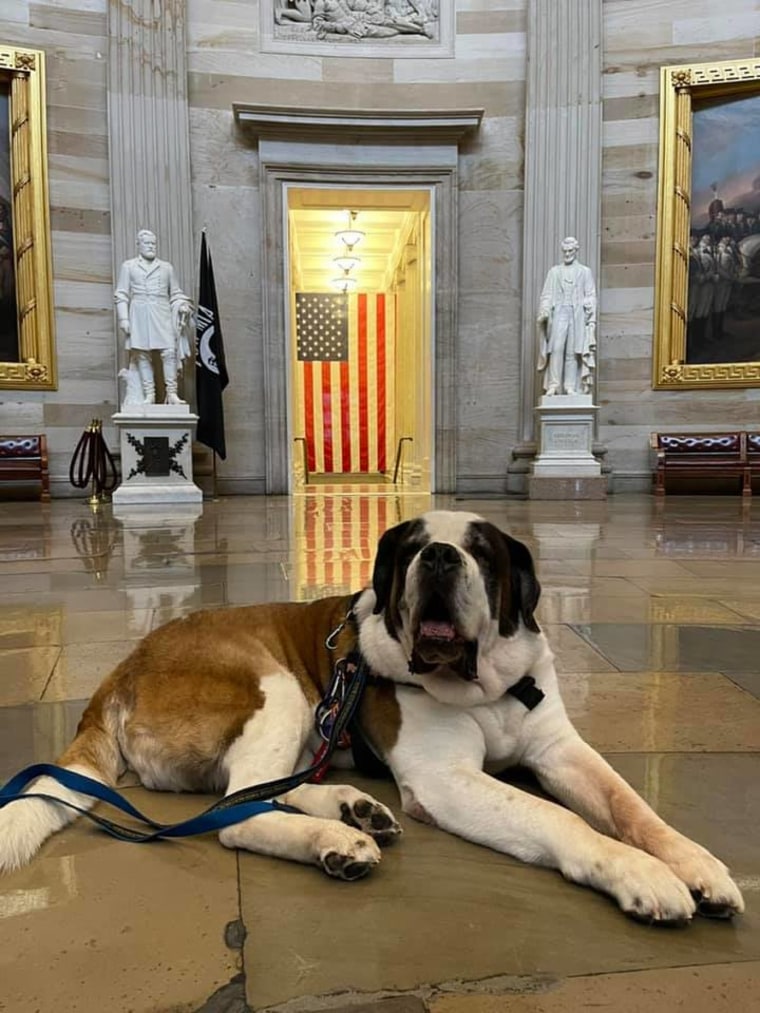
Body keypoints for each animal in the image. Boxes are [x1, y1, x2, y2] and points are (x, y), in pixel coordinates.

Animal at [0, 510, 745, 923]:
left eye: (481, 551)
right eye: (412, 545)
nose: (438, 555)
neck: (488, 689)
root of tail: (121, 669)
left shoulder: (561, 747)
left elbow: (628, 803)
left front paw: (697, 863)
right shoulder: (447, 779)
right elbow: (559, 818)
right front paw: (640, 874)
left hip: (304, 716)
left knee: (262, 788)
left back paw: (352, 809)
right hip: (276, 686)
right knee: (236, 812)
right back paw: (335, 841)